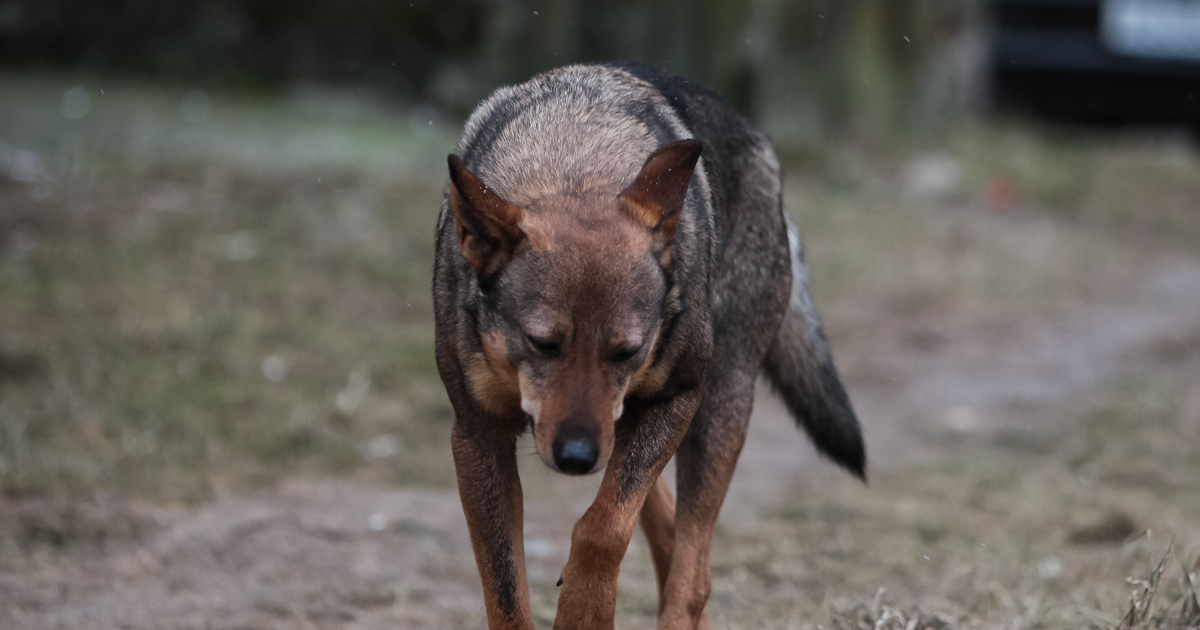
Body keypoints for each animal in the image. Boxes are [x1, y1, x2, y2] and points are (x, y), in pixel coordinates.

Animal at [436, 60, 868, 628]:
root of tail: (762, 144)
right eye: (542, 344)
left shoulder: (674, 399)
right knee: (668, 538)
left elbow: (602, 527)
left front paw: (584, 614)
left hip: (716, 410)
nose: (577, 457)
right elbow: (506, 592)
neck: (576, 165)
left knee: (693, 573)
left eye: (626, 351)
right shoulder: (478, 436)